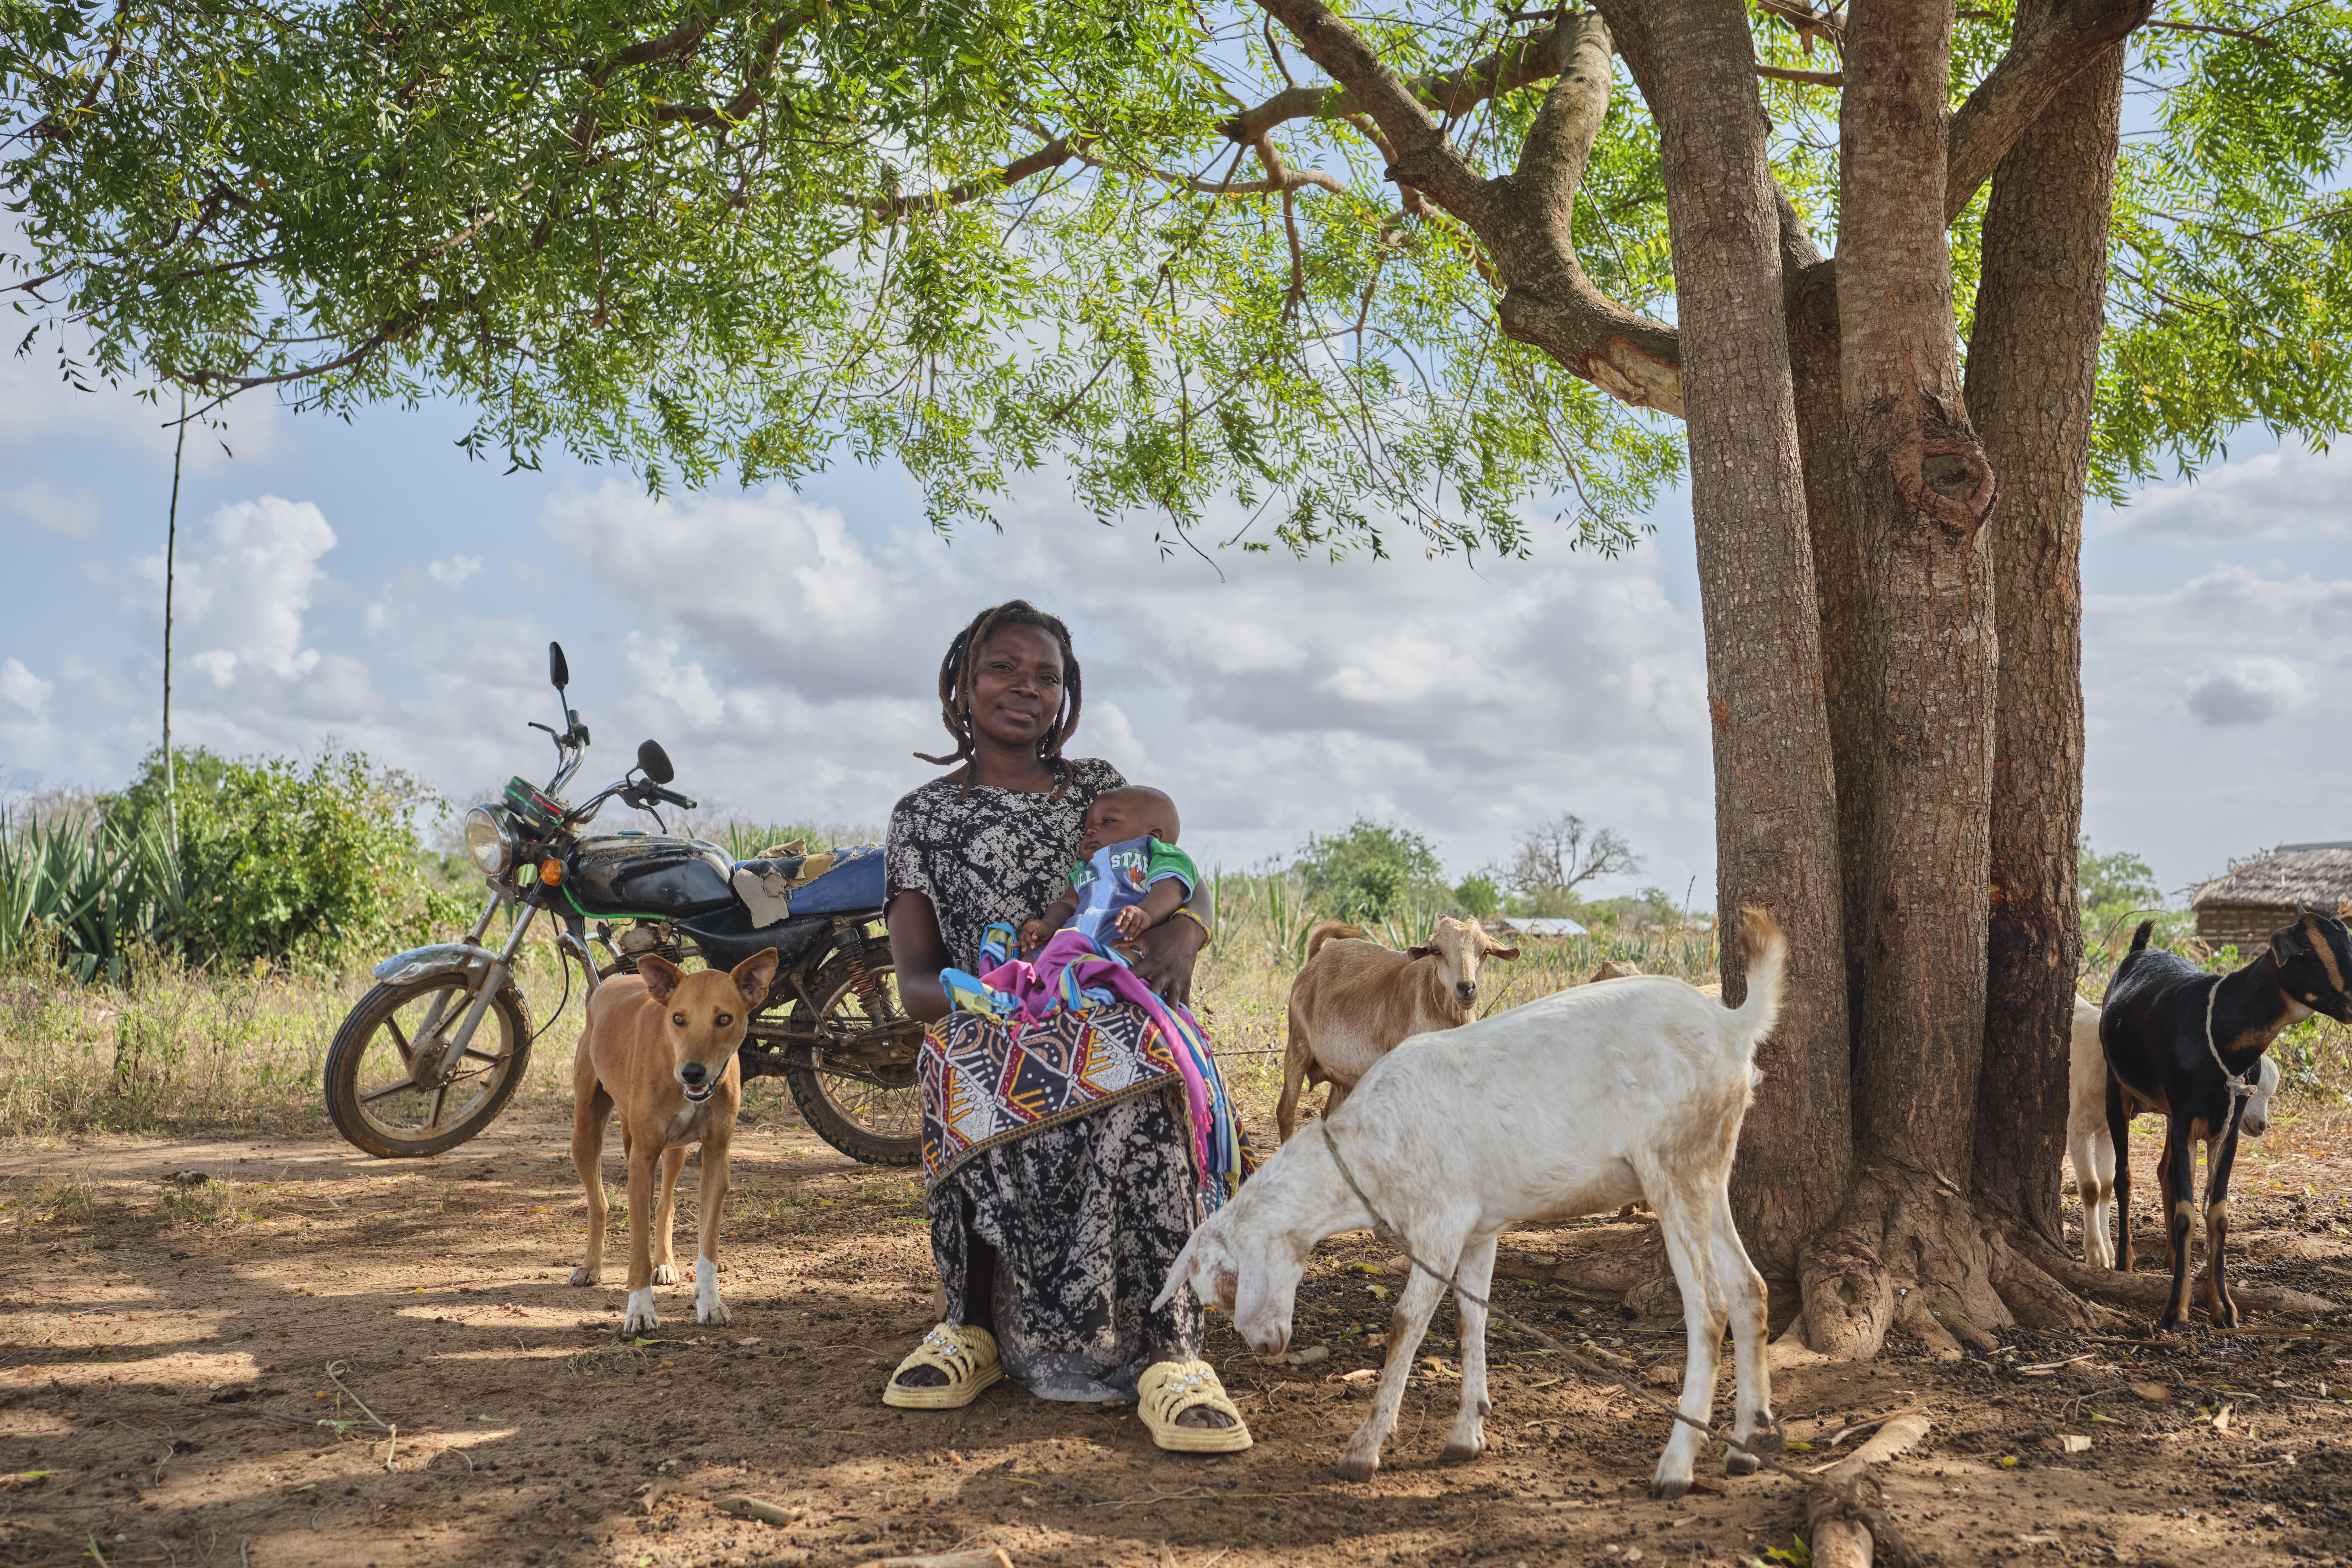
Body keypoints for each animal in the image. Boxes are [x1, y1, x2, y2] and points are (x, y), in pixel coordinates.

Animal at [1276, 916, 1518, 1140]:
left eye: (1485, 951)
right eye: (1438, 951)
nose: (1466, 988)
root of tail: (1314, 961)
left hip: (1343, 1076)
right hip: (1297, 1045)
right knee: (1286, 1111)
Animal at [2069, 995, 2280, 1272]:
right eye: (2248, 1087)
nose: (2262, 1125)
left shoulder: (2106, 1129)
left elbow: (2105, 1186)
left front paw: (2110, 1252)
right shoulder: (2078, 1127)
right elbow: (2091, 1188)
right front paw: (2096, 1255)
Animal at [2099, 912, 2352, 1328]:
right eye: (2308, 948)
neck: (2221, 1030)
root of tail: (2140, 951)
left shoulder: (2227, 1128)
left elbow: (2216, 1213)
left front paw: (2224, 1307)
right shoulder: (2186, 1120)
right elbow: (2187, 1213)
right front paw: (2175, 1311)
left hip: (2170, 1113)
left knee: (2165, 1174)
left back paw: (2173, 1258)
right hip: (2116, 1088)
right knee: (2124, 1177)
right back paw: (2125, 1262)